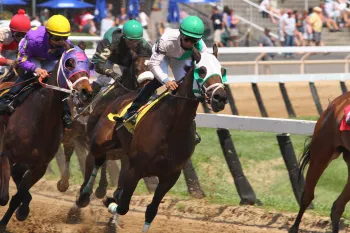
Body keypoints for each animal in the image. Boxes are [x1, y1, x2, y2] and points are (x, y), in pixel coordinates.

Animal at [0, 41, 93, 230]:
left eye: (89, 64)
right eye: (69, 63)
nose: (86, 92)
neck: (39, 120)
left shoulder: (39, 166)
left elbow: (17, 197)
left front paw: (19, 214)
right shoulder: (6, 154)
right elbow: (4, 197)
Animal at [75, 45, 226, 231]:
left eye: (222, 70)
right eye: (202, 70)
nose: (220, 97)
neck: (172, 127)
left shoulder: (170, 176)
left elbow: (151, 210)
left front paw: (114, 204)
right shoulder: (136, 169)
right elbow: (123, 206)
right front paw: (110, 202)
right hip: (100, 142)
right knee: (95, 159)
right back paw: (84, 195)